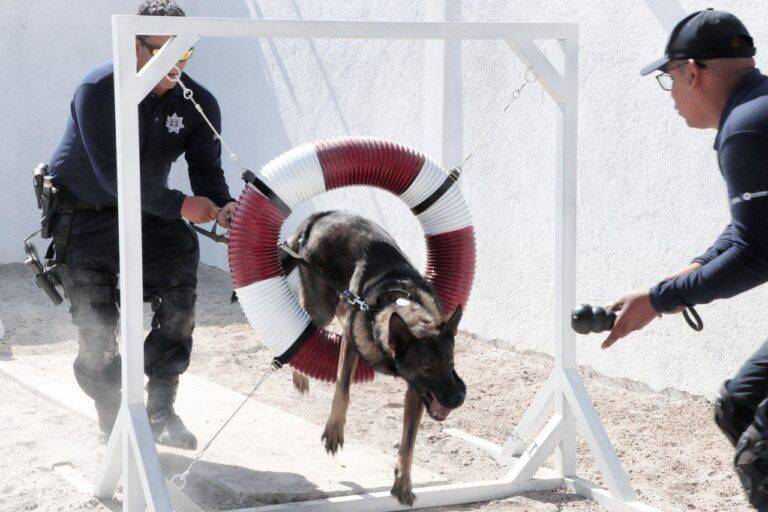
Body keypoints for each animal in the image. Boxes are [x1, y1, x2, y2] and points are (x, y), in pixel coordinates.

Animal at [280, 211, 464, 504]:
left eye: (451, 362)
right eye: (426, 366)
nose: (458, 399)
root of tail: (321, 216)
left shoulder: (416, 392)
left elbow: (409, 441)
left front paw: (403, 481)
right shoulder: (350, 345)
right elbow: (342, 389)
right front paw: (334, 430)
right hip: (322, 307)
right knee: (305, 318)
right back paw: (300, 375)